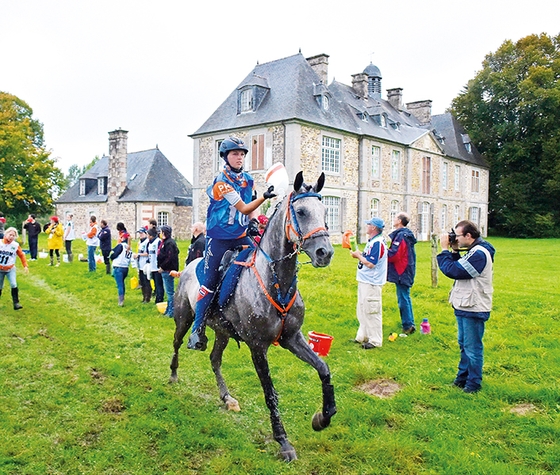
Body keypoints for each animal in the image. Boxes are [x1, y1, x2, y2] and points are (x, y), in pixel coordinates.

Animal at [170, 171, 336, 462]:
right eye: (301, 212)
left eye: (325, 210)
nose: (324, 253)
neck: (277, 282)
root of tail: (191, 265)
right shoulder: (258, 347)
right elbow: (270, 393)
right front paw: (283, 442)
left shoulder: (292, 338)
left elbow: (323, 369)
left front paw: (322, 418)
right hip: (184, 318)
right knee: (177, 343)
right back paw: (174, 374)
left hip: (222, 332)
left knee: (215, 360)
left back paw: (227, 397)